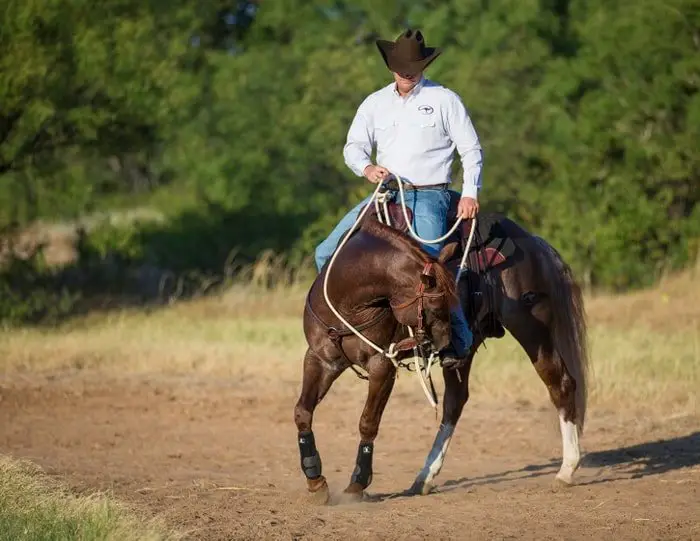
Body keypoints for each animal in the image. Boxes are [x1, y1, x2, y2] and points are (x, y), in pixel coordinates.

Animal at [292, 199, 588, 502]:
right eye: (435, 305)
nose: (447, 343)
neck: (350, 302)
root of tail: (535, 243)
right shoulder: (320, 359)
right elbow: (302, 411)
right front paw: (315, 480)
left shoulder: (382, 366)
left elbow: (368, 421)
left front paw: (357, 484)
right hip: (470, 350)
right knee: (454, 403)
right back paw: (424, 477)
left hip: (533, 332)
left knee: (561, 384)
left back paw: (566, 470)